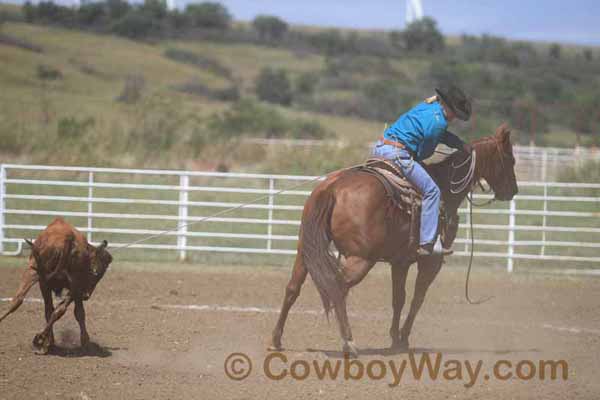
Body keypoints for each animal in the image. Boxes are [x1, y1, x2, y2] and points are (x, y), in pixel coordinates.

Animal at [270, 123, 516, 354]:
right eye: (510, 160)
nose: (513, 191)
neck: (445, 187)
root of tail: (332, 188)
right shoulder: (431, 261)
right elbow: (417, 298)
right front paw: (404, 338)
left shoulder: (400, 261)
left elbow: (398, 298)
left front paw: (395, 339)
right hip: (361, 259)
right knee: (338, 287)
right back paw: (348, 342)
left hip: (305, 251)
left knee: (293, 288)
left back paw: (276, 340)